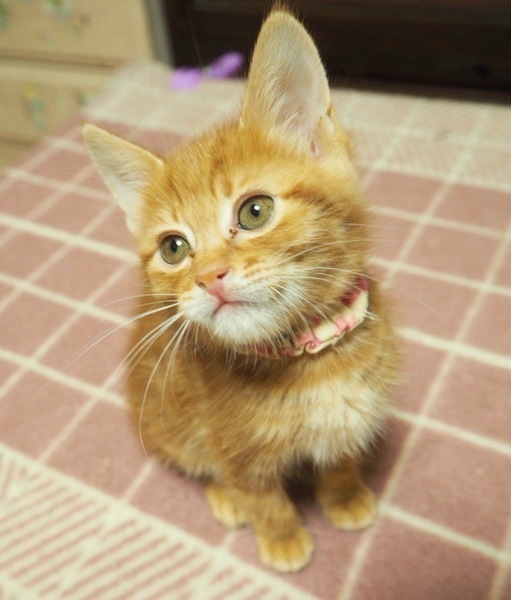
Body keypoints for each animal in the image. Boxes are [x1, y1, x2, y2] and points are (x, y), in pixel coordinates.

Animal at [83, 9, 399, 573]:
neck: (307, 362)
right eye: (173, 248)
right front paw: (282, 537)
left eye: (255, 211)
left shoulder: (354, 411)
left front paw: (345, 494)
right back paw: (225, 500)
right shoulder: (234, 449)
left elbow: (340, 457)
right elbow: (260, 494)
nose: (209, 275)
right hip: (165, 422)